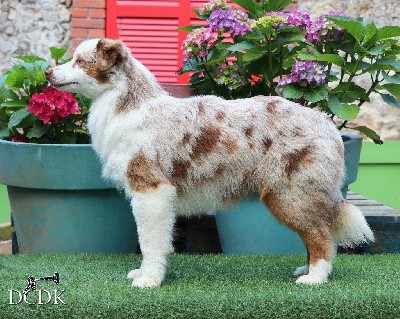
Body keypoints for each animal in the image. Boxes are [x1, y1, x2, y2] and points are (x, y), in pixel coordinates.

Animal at [45, 38, 374, 288]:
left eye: (79, 61)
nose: (47, 73)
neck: (128, 106)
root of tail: (328, 125)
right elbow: (156, 240)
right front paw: (145, 274)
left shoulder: (151, 190)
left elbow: (150, 239)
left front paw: (149, 280)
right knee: (316, 233)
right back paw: (306, 270)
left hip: (289, 194)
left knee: (321, 237)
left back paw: (315, 278)